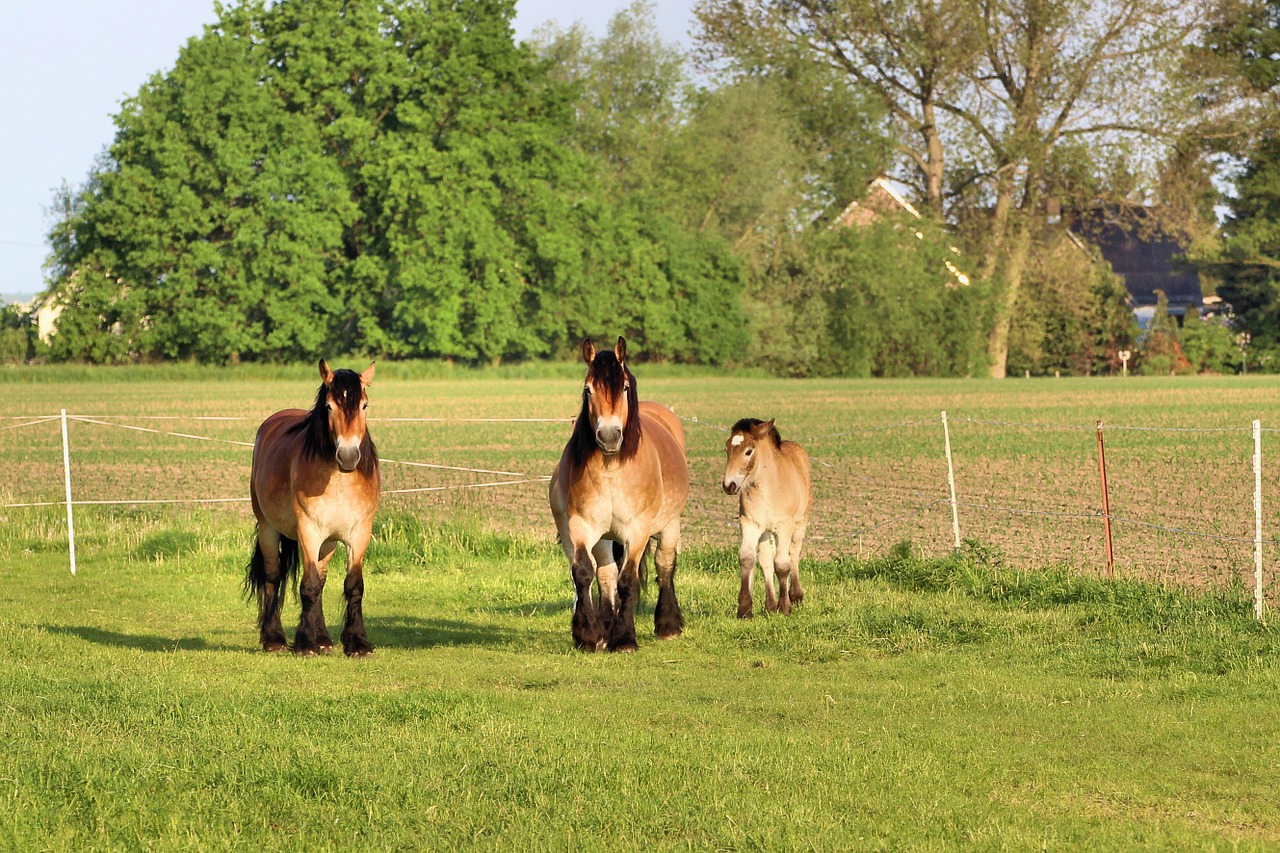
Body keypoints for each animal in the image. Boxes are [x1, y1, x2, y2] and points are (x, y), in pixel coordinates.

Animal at [241, 356, 376, 653]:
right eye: (329, 406)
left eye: (364, 405)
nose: (348, 456)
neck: (339, 480)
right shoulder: (308, 531)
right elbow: (308, 584)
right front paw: (305, 643)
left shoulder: (359, 534)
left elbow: (353, 585)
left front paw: (357, 643)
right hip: (269, 529)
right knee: (272, 576)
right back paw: (275, 639)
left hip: (328, 542)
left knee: (321, 579)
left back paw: (323, 638)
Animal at [550, 335, 691, 648]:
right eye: (588, 389)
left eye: (624, 387)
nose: (609, 436)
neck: (612, 469)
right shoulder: (581, 526)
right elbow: (583, 572)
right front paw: (589, 635)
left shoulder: (636, 531)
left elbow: (628, 580)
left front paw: (625, 638)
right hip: (603, 538)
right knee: (605, 574)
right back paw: (605, 627)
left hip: (669, 525)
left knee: (664, 565)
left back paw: (668, 624)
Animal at [721, 414, 808, 614]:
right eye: (727, 448)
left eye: (748, 451)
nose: (729, 485)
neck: (767, 488)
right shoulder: (750, 523)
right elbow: (747, 558)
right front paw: (745, 609)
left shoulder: (785, 526)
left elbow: (782, 564)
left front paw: (785, 607)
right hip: (766, 532)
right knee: (766, 559)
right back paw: (770, 605)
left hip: (800, 522)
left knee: (794, 553)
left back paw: (795, 596)